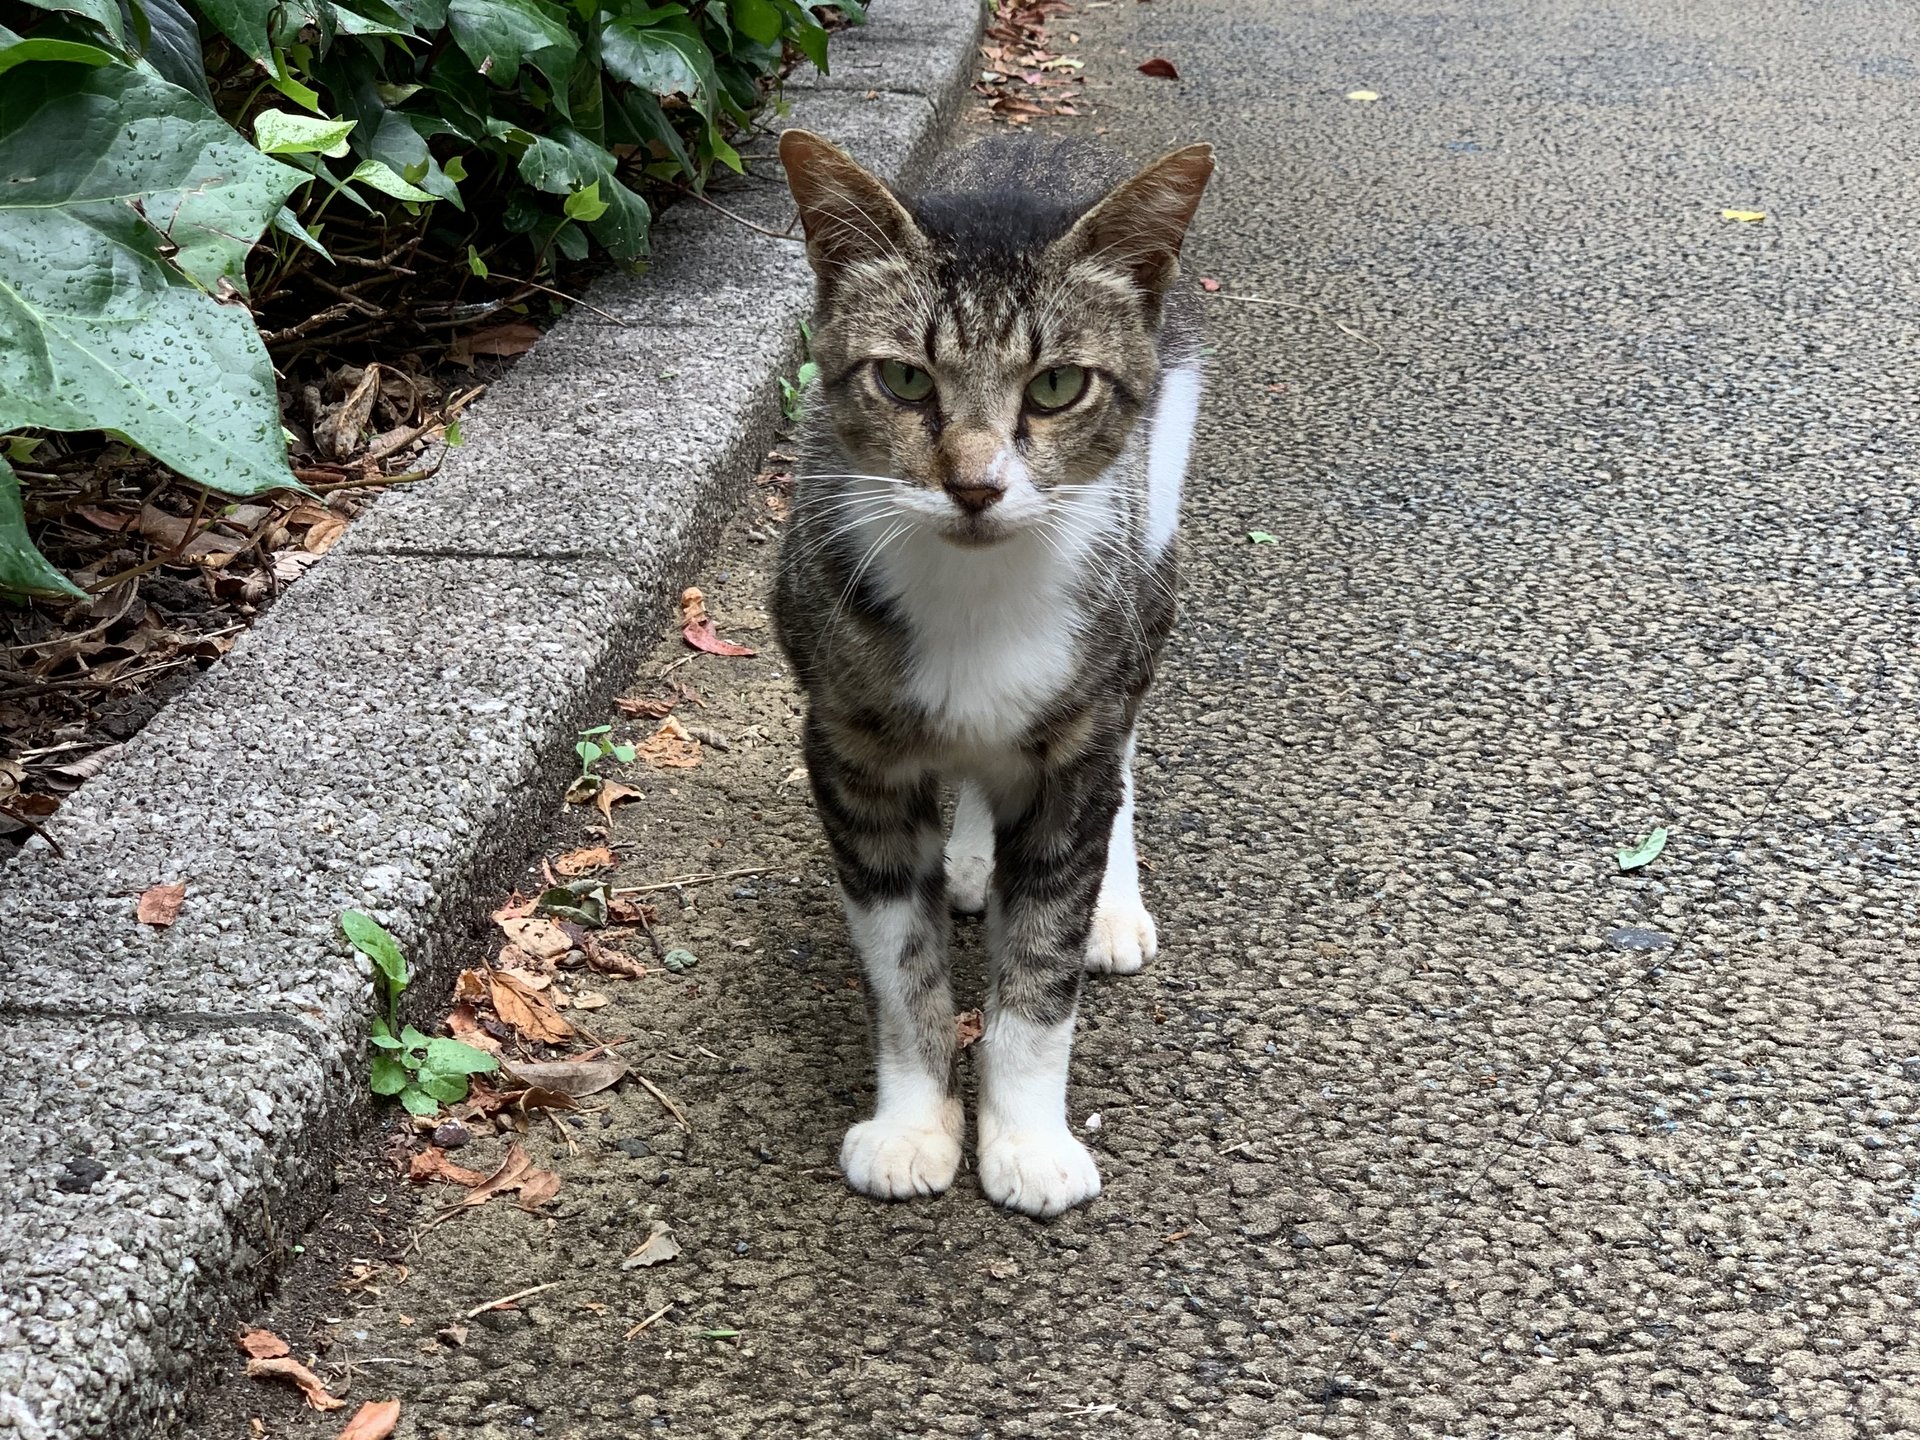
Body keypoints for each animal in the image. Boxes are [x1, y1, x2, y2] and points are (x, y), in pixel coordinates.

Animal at [768, 132, 1205, 1221]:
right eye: (903, 379)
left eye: (1055, 387)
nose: (973, 484)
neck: (975, 594)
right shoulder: (848, 751)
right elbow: (901, 964)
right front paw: (913, 1127)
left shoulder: (1078, 743)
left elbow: (1041, 969)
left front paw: (1029, 1141)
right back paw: (970, 854)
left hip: (1153, 543)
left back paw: (1112, 907)